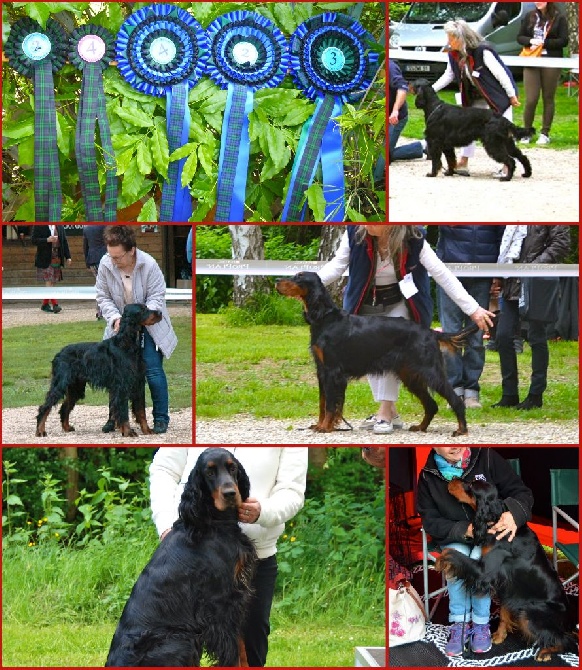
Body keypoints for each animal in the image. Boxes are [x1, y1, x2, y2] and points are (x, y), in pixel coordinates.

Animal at [34, 304, 162, 438]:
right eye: (142, 310)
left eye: (146, 307)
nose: (160, 313)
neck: (127, 344)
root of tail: (59, 353)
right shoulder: (122, 386)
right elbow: (123, 412)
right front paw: (128, 431)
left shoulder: (138, 384)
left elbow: (141, 411)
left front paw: (147, 430)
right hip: (60, 384)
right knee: (45, 406)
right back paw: (40, 430)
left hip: (76, 387)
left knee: (64, 407)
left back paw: (66, 427)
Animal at [107, 448, 258, 668]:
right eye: (209, 472)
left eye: (232, 468)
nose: (230, 494)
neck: (214, 523)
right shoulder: (220, 602)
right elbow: (233, 652)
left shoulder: (235, 596)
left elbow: (241, 647)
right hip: (181, 639)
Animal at [276, 270, 486, 438]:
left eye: (299, 277)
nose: (277, 280)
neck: (325, 318)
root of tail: (430, 332)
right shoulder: (322, 371)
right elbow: (323, 402)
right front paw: (320, 424)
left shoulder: (332, 372)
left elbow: (330, 404)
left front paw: (325, 427)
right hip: (411, 375)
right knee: (431, 405)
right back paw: (421, 427)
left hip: (431, 372)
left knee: (454, 400)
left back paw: (461, 429)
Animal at [438, 480, 580, 664]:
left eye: (470, 486)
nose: (452, 480)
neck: (495, 518)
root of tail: (569, 622)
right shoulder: (506, 585)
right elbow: (504, 611)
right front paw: (499, 635)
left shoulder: (484, 572)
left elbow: (451, 552)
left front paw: (440, 560)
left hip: (529, 614)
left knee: (568, 641)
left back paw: (546, 652)